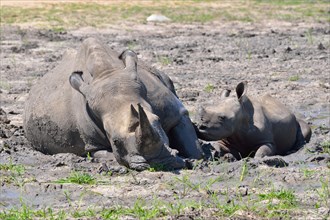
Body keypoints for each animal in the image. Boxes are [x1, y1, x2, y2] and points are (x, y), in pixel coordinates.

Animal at [23, 37, 204, 170]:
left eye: (158, 121)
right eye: (115, 141)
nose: (158, 162)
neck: (107, 74)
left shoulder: (176, 112)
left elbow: (194, 149)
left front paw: (194, 159)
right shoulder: (92, 143)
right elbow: (103, 154)